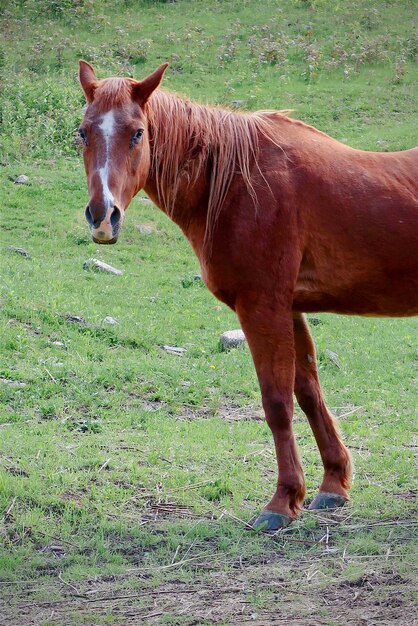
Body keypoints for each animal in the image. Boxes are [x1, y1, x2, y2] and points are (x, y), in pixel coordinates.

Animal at [77, 61, 418, 528]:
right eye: (82, 132)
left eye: (137, 133)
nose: (102, 216)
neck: (240, 184)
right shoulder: (289, 308)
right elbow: (308, 392)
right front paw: (333, 483)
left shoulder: (262, 307)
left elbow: (276, 403)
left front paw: (282, 501)